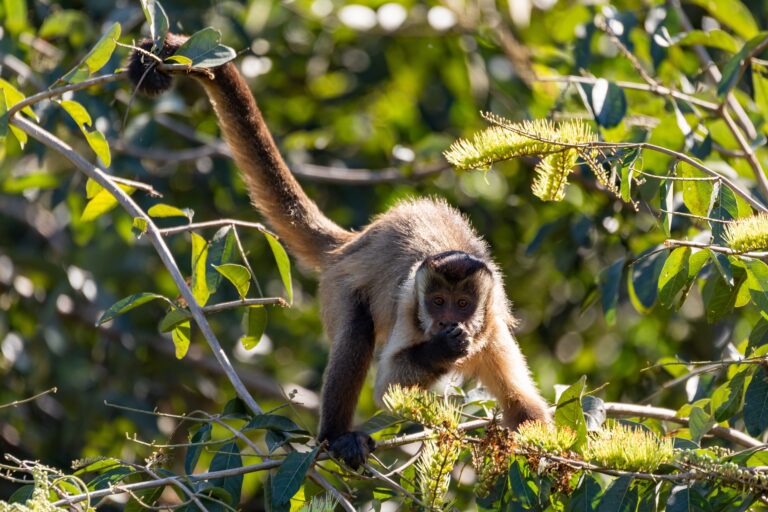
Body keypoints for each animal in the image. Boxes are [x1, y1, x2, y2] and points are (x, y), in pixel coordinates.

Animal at [128, 34, 550, 469]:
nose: (449, 322)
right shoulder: (410, 309)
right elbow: (389, 388)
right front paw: (442, 348)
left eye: (463, 304)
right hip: (338, 283)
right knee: (356, 332)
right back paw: (336, 437)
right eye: (437, 302)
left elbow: (525, 407)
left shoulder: (492, 328)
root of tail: (355, 239)